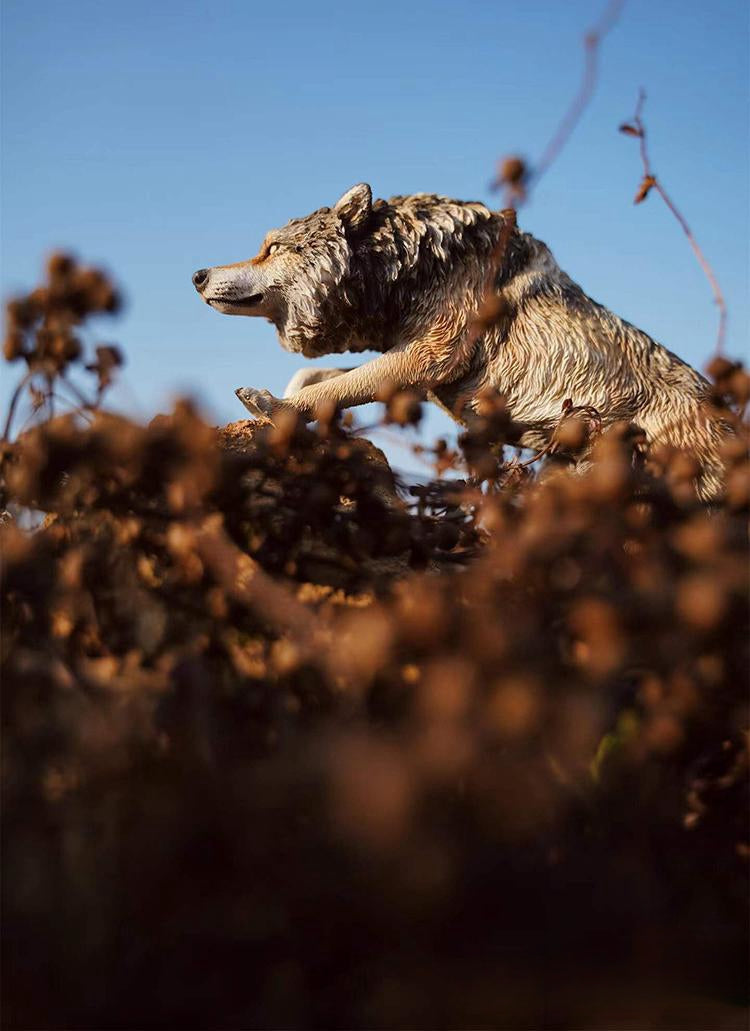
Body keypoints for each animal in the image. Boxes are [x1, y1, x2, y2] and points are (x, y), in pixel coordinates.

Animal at [192, 183, 727, 498]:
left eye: (270, 248)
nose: (197, 275)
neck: (413, 261)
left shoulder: (429, 358)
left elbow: (326, 387)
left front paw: (273, 408)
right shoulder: (418, 372)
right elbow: (315, 377)